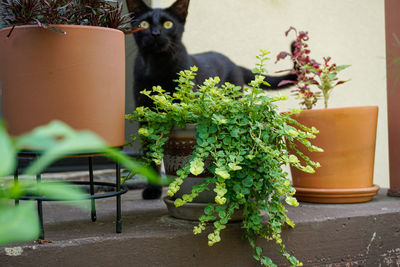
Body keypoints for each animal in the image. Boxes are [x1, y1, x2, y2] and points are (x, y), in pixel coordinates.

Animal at [126, 0, 296, 199]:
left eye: (168, 24)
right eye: (144, 24)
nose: (155, 33)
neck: (157, 68)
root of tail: (235, 64)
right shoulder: (144, 115)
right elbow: (150, 155)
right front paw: (152, 189)